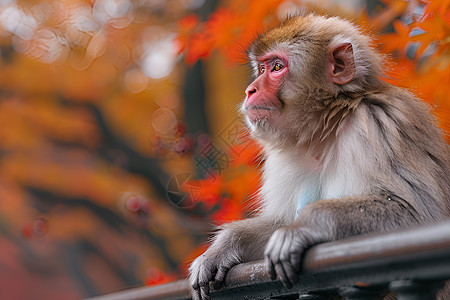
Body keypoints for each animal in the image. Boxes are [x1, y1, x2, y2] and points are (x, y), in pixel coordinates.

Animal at [187, 14, 450, 300]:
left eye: (277, 67)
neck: (327, 128)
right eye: (262, 68)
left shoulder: (380, 124)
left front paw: (301, 227)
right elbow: (279, 220)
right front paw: (223, 247)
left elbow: (416, 215)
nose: (250, 90)